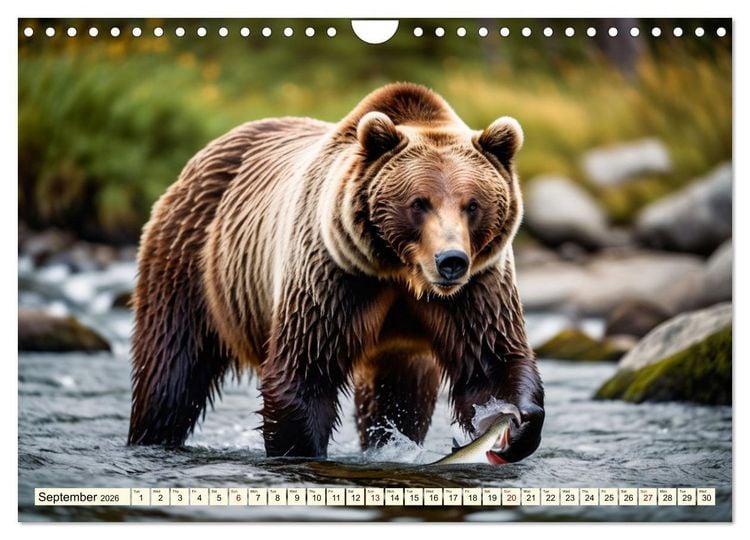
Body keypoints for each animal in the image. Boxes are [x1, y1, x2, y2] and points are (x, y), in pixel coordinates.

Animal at [128, 82, 544, 463]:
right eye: (419, 203)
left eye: (472, 204)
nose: (451, 260)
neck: (400, 271)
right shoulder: (334, 276)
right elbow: (305, 371)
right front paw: (301, 450)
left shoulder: (477, 287)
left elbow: (490, 360)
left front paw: (515, 425)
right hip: (193, 260)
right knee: (171, 369)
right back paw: (152, 435)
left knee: (400, 395)